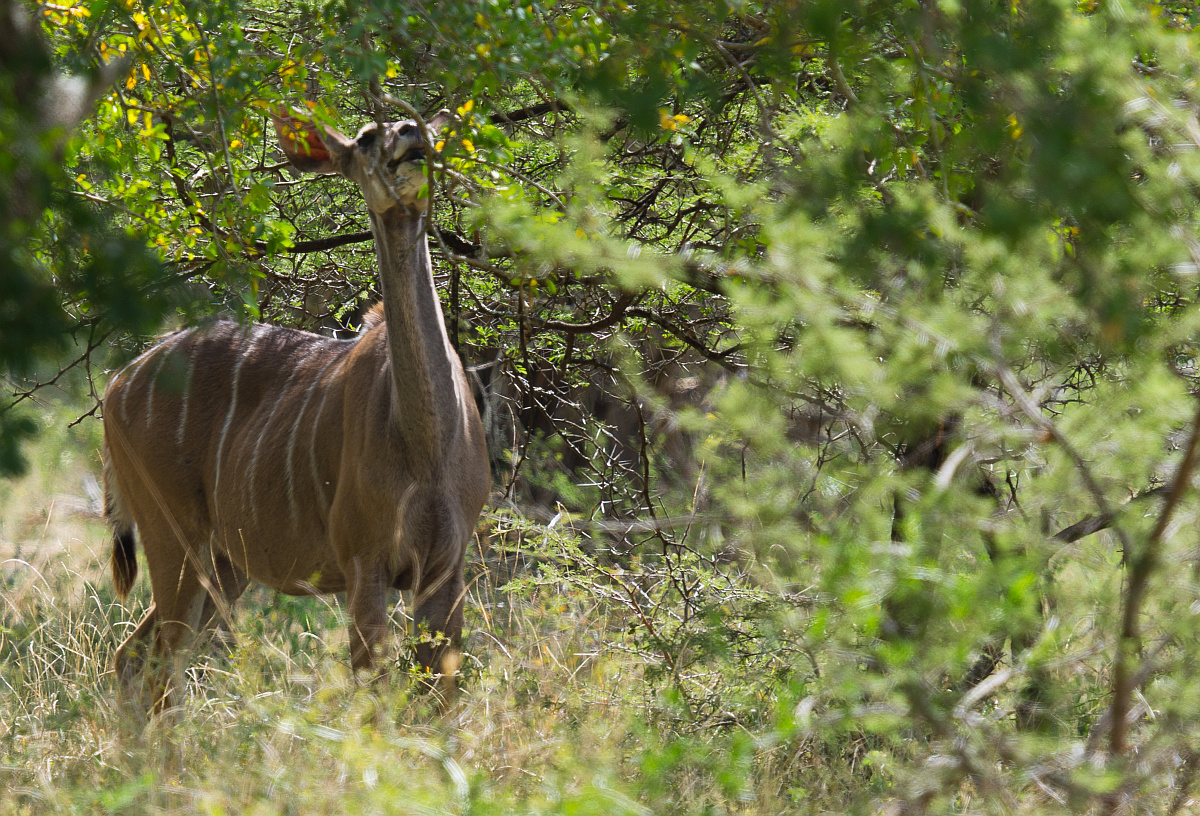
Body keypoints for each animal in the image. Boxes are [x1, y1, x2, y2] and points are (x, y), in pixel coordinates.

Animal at [100, 105, 489, 710]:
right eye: (367, 138)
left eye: (416, 122)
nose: (409, 137)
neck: (425, 441)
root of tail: (116, 386)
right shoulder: (365, 563)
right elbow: (374, 692)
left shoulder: (446, 568)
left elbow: (437, 695)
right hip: (176, 542)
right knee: (160, 662)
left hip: (225, 565)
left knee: (135, 655)